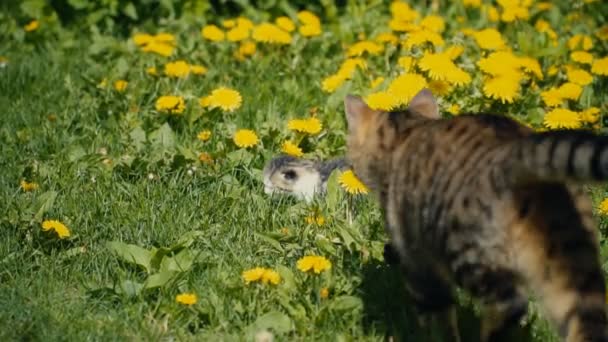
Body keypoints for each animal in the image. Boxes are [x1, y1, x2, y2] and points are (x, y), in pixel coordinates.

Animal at [344, 89, 604, 342]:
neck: (405, 134)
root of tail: (514, 150)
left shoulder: (417, 260)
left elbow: (438, 318)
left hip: (468, 248)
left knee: (510, 305)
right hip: (569, 256)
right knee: (584, 321)